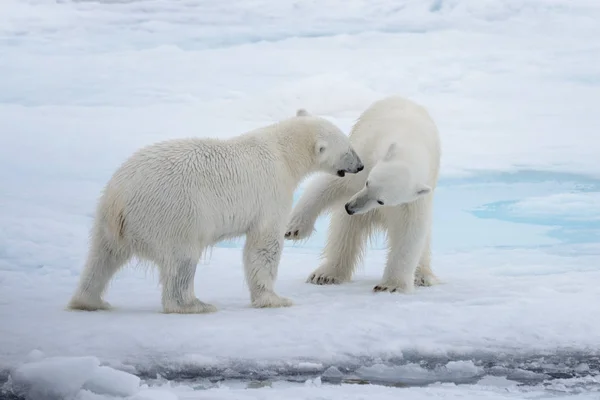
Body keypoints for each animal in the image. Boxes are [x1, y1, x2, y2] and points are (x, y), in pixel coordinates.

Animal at [68, 109, 364, 312]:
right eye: (348, 149)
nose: (360, 166)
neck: (282, 152)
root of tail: (119, 197)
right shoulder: (271, 191)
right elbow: (263, 245)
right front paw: (275, 299)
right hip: (172, 213)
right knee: (182, 261)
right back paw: (195, 305)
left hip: (109, 219)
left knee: (102, 257)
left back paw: (90, 301)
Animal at [284, 95, 438, 292]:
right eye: (367, 183)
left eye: (381, 201)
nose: (350, 207)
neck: (409, 141)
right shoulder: (366, 159)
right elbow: (330, 184)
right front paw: (294, 229)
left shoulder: (414, 198)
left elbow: (410, 231)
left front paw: (390, 286)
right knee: (344, 231)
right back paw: (326, 274)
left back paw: (423, 276)